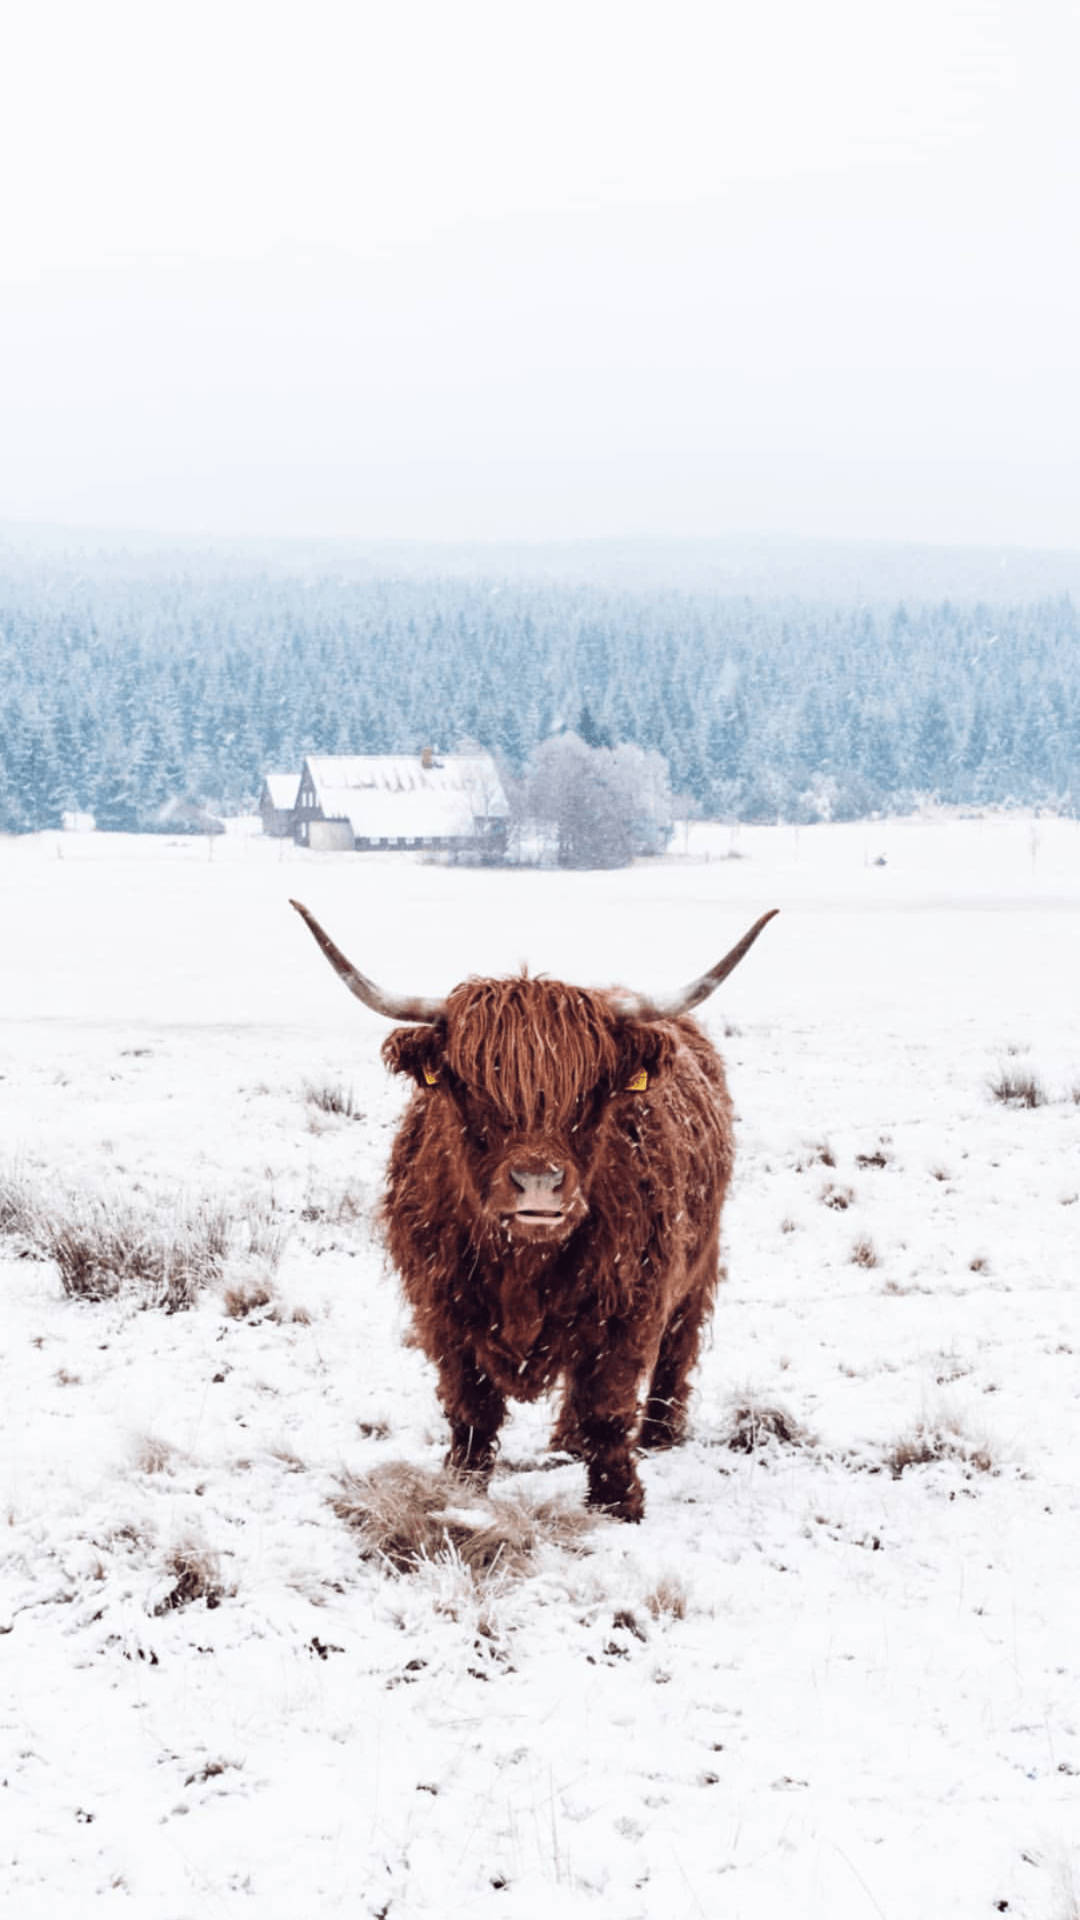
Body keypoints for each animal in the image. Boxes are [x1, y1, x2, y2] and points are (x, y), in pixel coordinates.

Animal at [288, 898, 772, 1512]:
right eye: (472, 1089)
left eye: (592, 1093)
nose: (539, 1183)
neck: (523, 1263)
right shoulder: (441, 1307)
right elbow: (471, 1407)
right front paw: (462, 1486)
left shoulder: (631, 1302)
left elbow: (607, 1404)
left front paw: (618, 1501)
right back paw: (566, 1442)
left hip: (700, 1259)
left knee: (676, 1347)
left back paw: (659, 1434)